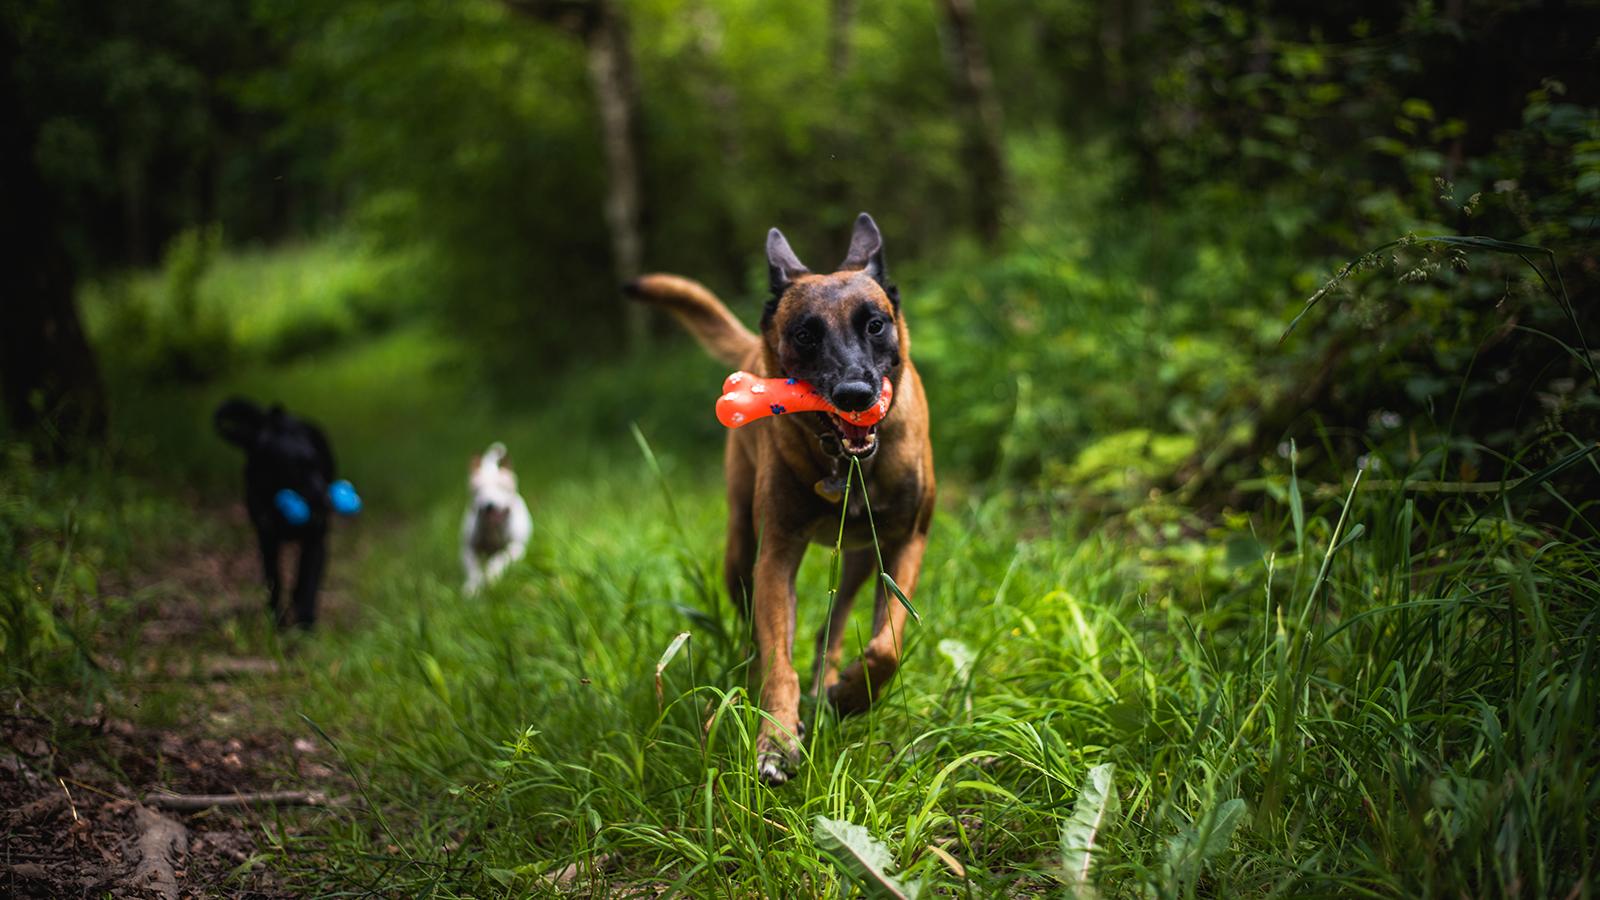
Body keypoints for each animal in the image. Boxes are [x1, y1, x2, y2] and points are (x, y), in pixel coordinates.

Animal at [216, 395, 337, 627]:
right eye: (296, 469)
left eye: (317, 465)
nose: (327, 502)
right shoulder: (267, 539)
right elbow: (274, 580)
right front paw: (277, 620)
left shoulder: (315, 541)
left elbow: (308, 581)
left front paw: (305, 623)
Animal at [460, 438, 534, 592]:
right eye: (477, 489)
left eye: (502, 487)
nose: (489, 505)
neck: (492, 529)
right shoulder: (468, 549)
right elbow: (474, 570)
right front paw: (473, 587)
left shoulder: (515, 548)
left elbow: (499, 560)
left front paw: (491, 575)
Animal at [627, 212, 934, 781]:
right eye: (805, 334)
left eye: (874, 324)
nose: (855, 394)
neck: (844, 463)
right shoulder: (776, 555)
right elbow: (778, 661)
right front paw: (776, 738)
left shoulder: (907, 542)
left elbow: (887, 644)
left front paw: (854, 693)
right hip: (739, 550)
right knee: (761, 635)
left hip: (862, 554)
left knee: (833, 626)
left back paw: (832, 684)